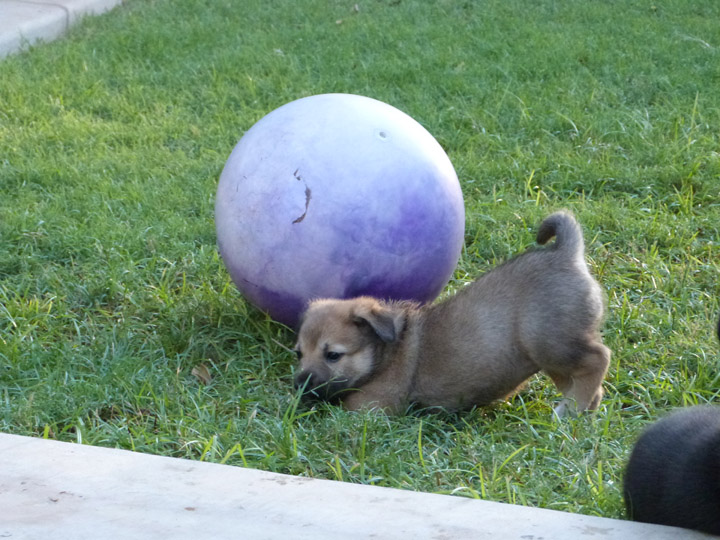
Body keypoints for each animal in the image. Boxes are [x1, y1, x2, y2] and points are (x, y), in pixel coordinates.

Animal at [292, 211, 612, 418]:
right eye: (299, 353)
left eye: (333, 355)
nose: (299, 384)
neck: (385, 352)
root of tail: (566, 253)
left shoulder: (371, 404)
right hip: (552, 355)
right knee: (589, 384)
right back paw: (579, 413)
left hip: (549, 342)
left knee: (599, 358)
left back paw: (569, 411)